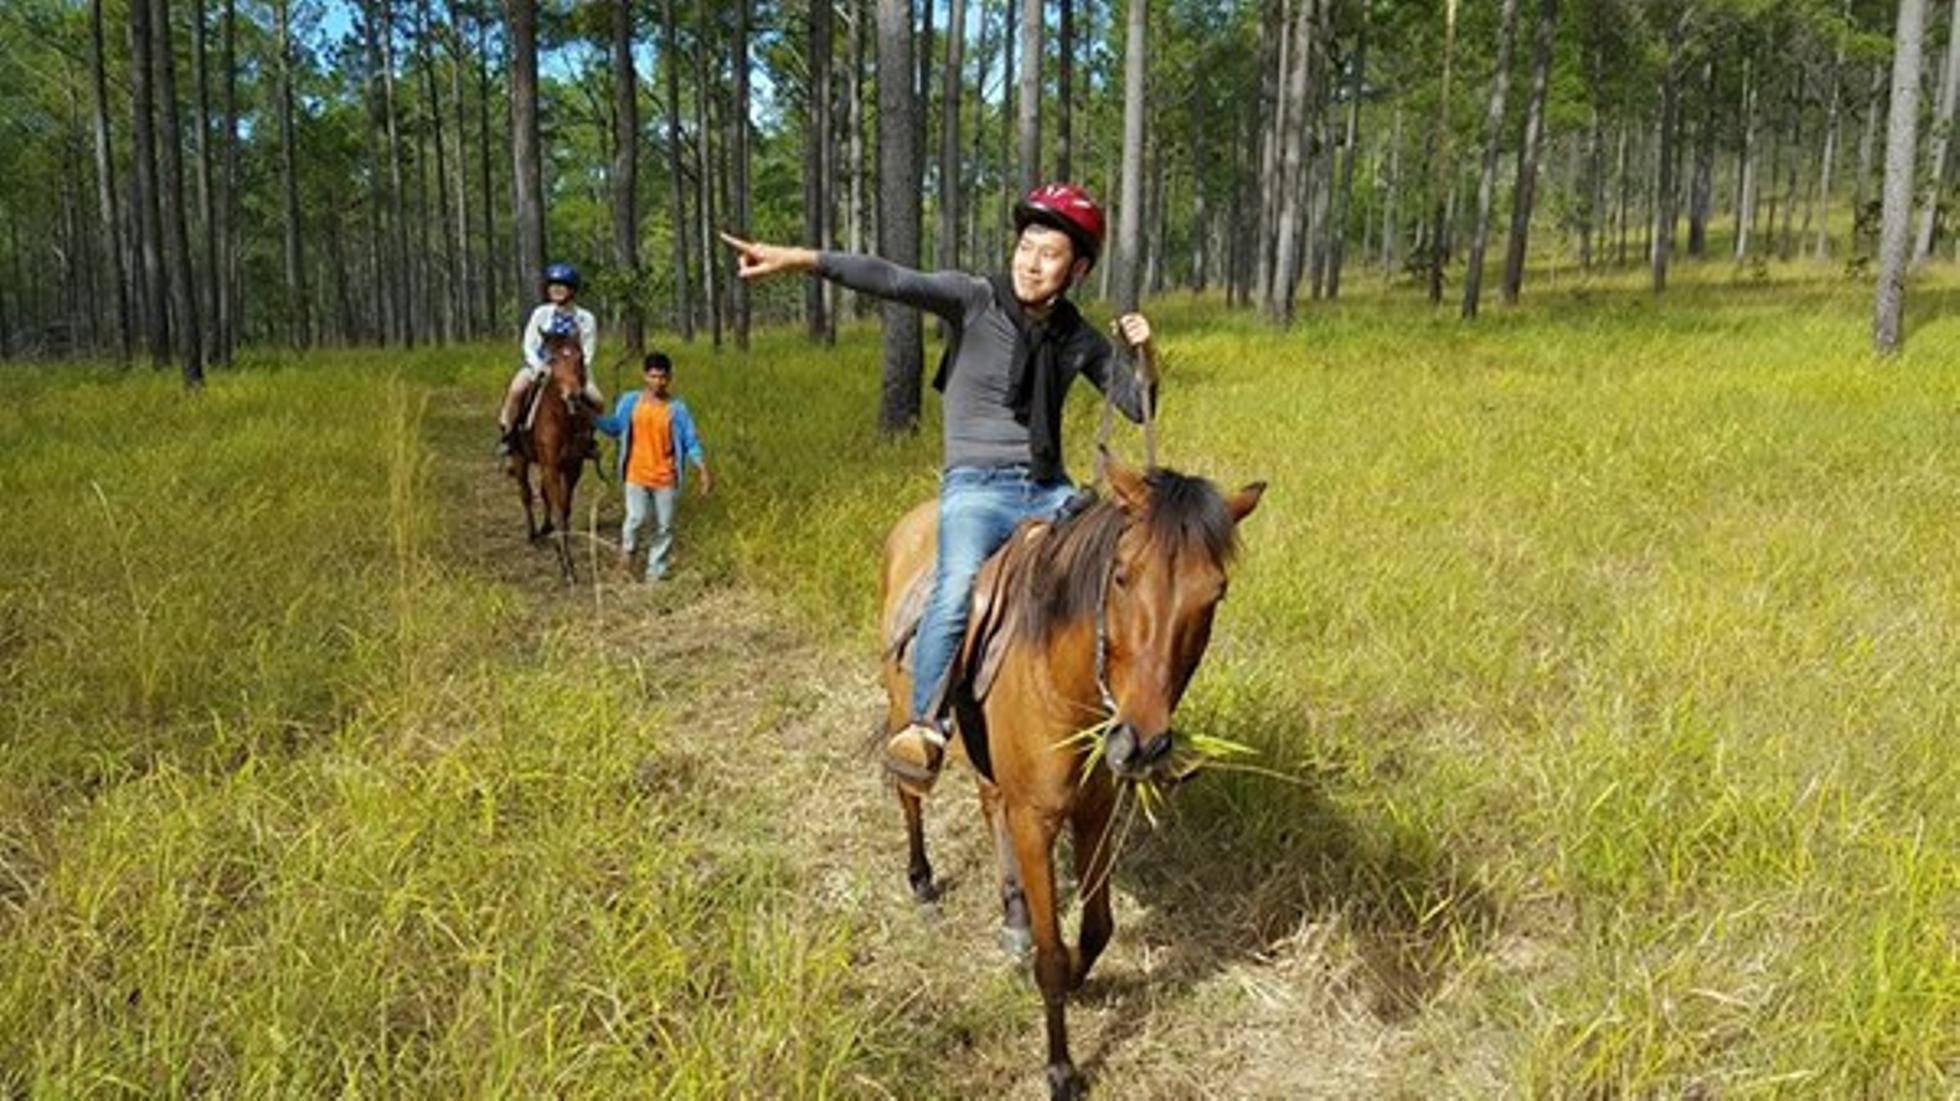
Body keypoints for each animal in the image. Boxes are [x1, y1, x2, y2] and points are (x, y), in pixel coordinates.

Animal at [506, 332, 595, 582]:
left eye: (580, 357)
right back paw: (532, 535)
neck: (563, 418)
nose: (573, 395)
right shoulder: (551, 466)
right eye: (552, 359)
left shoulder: (572, 467)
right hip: (520, 460)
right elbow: (557, 509)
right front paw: (567, 566)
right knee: (526, 495)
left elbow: (564, 508)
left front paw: (561, 550)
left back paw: (545, 529)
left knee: (543, 494)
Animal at [877, 459, 1265, 1099]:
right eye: (1122, 577)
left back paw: (1012, 915)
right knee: (909, 792)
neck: (1063, 679)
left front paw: (1083, 980)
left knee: (989, 803)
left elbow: (1098, 927)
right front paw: (1060, 1068)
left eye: (1216, 592)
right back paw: (922, 881)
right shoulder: (1038, 822)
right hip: (900, 712)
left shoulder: (1094, 812)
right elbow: (1053, 955)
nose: (1141, 745)